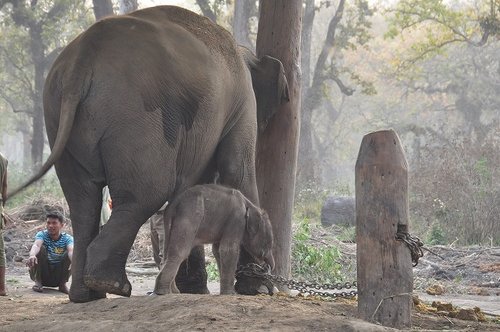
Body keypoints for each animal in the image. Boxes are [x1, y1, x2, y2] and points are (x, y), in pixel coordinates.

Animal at [13, 6, 290, 304]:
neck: (243, 51)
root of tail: (81, 59)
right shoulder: (243, 102)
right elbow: (237, 171)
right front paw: (259, 290)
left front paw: (193, 289)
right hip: (137, 116)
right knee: (146, 193)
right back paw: (112, 284)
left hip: (59, 115)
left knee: (82, 200)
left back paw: (87, 295)